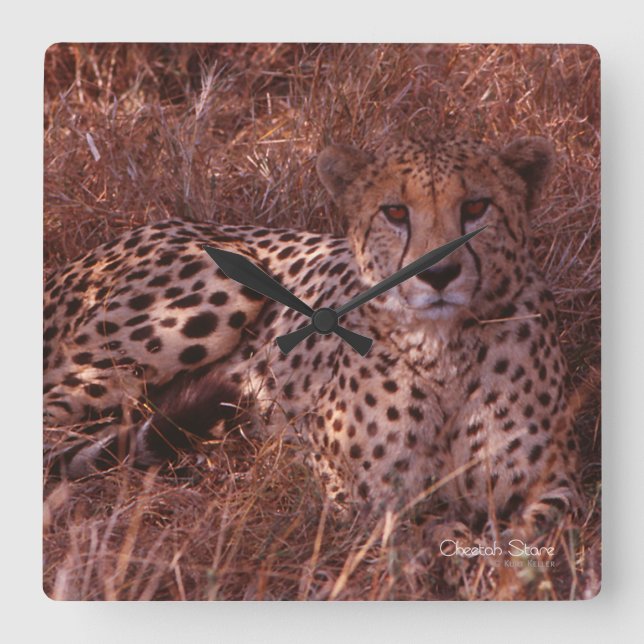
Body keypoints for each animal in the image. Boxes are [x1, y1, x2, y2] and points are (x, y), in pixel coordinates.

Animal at [43, 134, 582, 534]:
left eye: (476, 206)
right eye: (395, 212)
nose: (439, 274)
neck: (443, 350)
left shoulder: (558, 485)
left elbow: (533, 532)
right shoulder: (351, 490)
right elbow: (420, 530)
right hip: (219, 283)